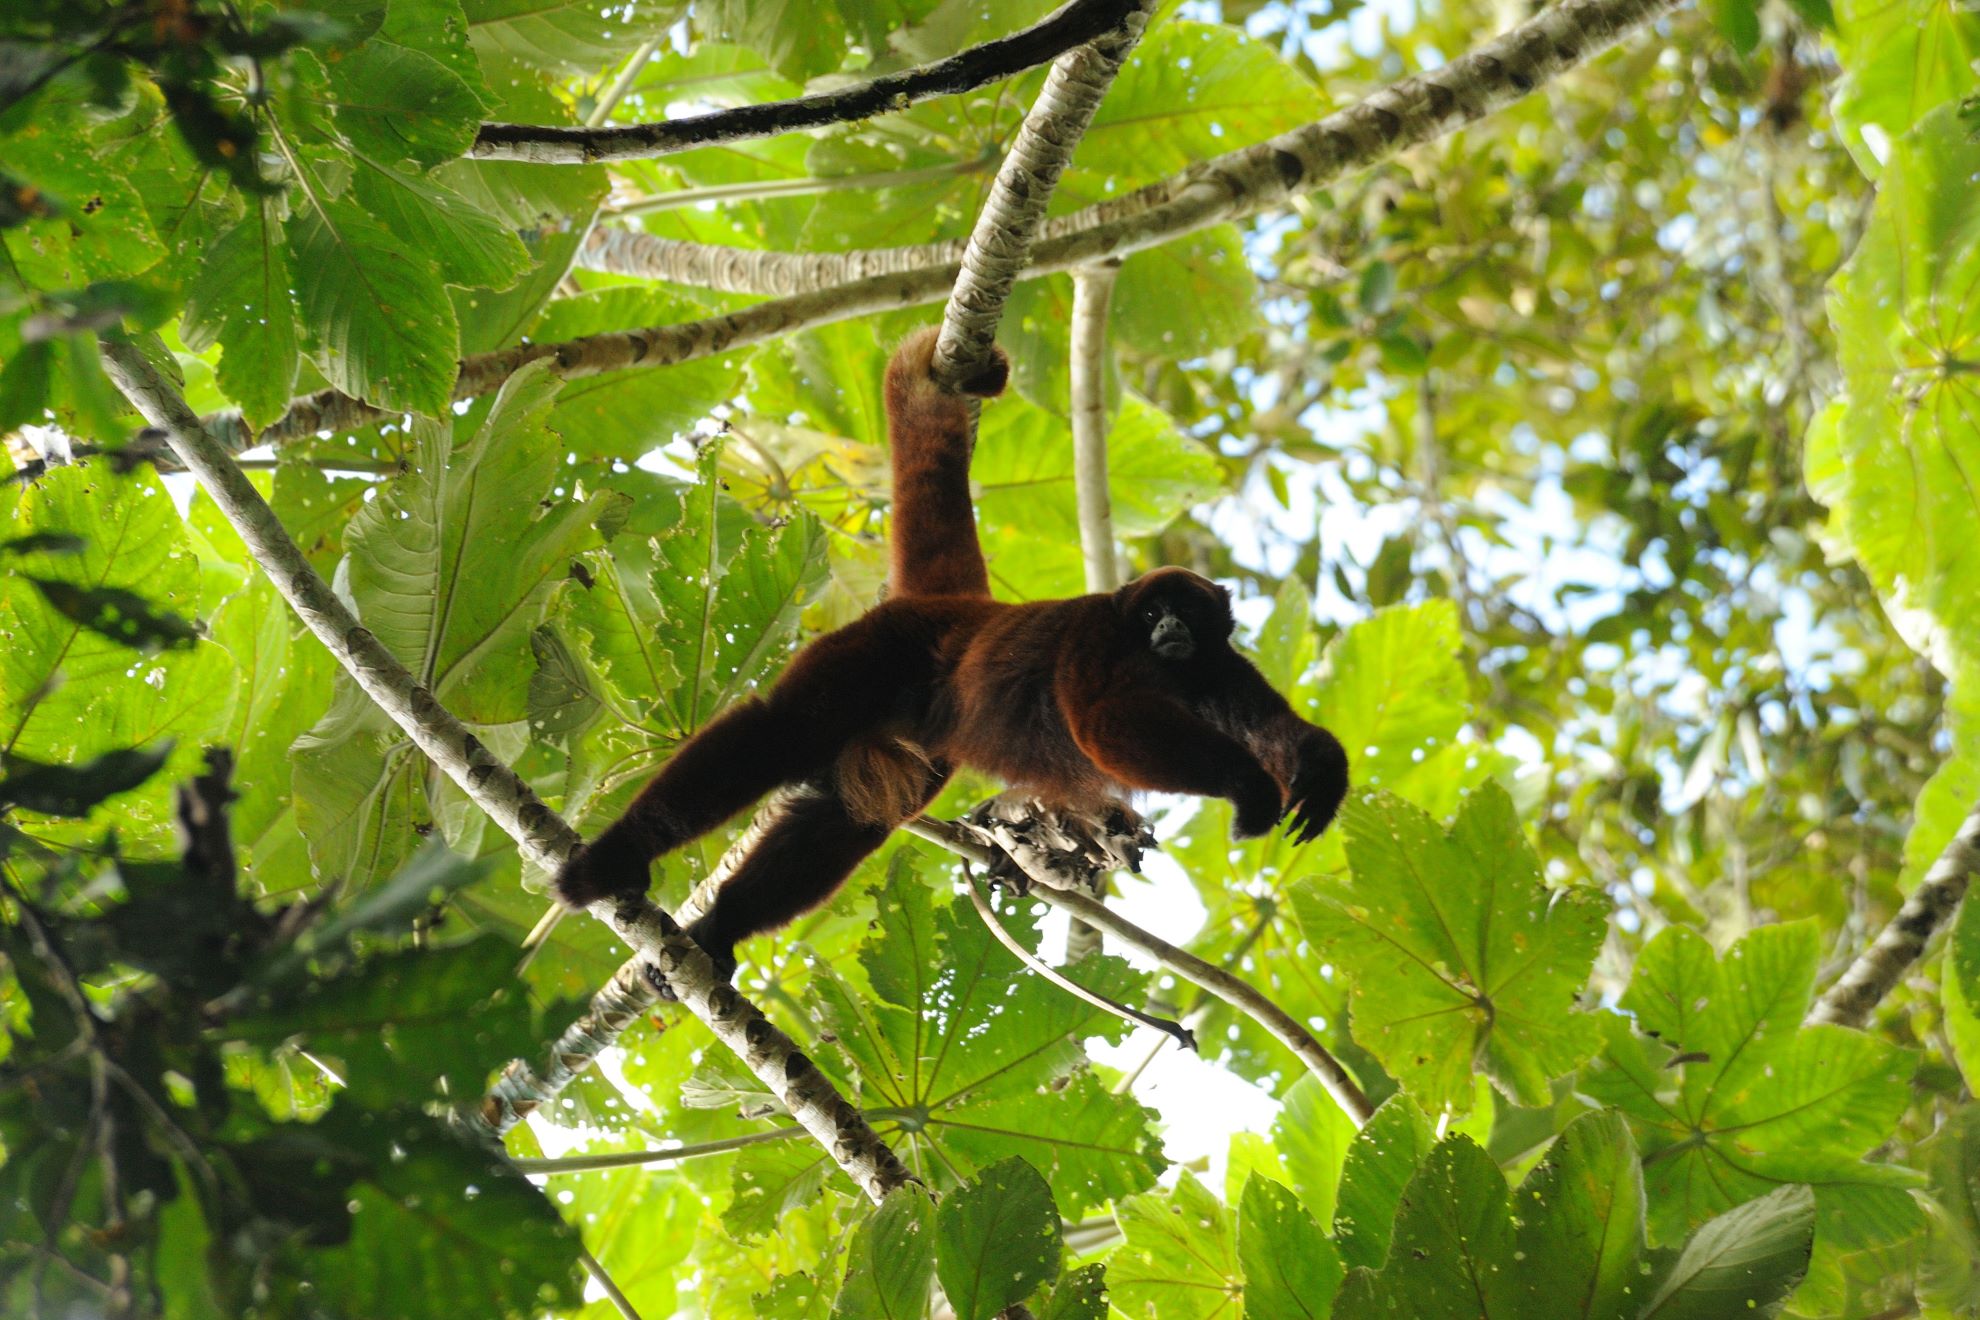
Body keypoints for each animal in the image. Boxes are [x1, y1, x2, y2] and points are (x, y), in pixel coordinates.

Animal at [554, 328, 1349, 988]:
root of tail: (953, 609)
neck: (1155, 655)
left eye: (1187, 611)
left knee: (854, 815)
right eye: (1153, 612)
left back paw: (722, 925)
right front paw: (1248, 786)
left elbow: (1268, 723)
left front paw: (1319, 769)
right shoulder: (1097, 636)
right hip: (872, 653)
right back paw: (618, 857)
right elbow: (1100, 724)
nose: (1170, 630)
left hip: (912, 726)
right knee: (780, 732)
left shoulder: (1217, 664)